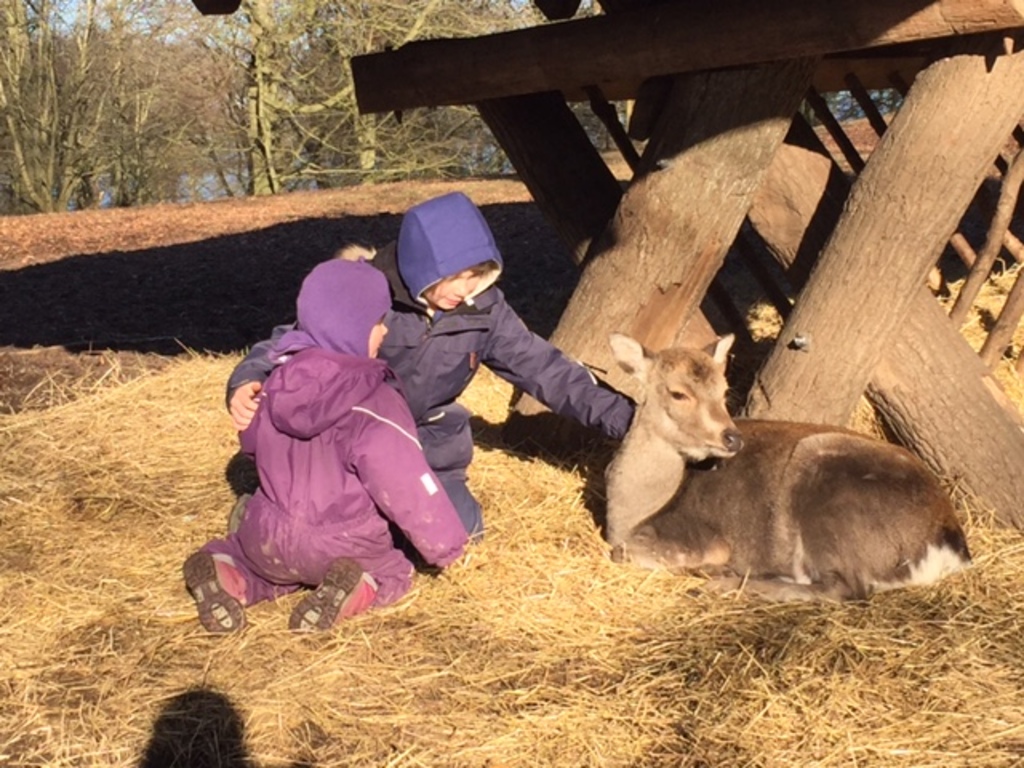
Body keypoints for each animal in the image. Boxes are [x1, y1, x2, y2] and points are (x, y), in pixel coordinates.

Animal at [603, 332, 972, 602]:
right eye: (678, 394)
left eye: (723, 390)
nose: (732, 437)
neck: (634, 512)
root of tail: (952, 547)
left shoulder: (706, 539)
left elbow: (623, 552)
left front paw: (713, 572)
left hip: (830, 498)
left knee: (846, 589)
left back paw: (726, 582)